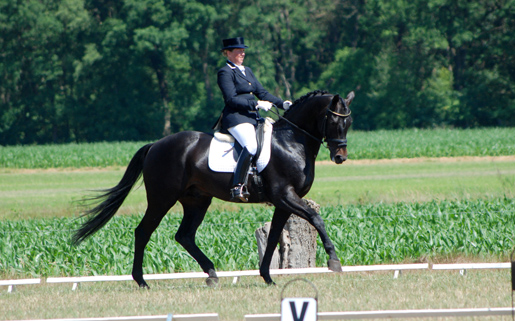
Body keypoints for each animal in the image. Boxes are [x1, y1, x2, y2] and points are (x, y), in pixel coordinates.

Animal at [72, 89, 354, 286]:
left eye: (349, 123)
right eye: (333, 121)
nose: (340, 157)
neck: (290, 142)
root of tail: (155, 145)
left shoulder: (283, 202)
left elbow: (275, 236)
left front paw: (267, 277)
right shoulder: (285, 196)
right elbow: (316, 218)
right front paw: (334, 261)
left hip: (197, 201)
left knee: (184, 236)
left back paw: (211, 273)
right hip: (162, 198)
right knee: (143, 232)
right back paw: (141, 281)